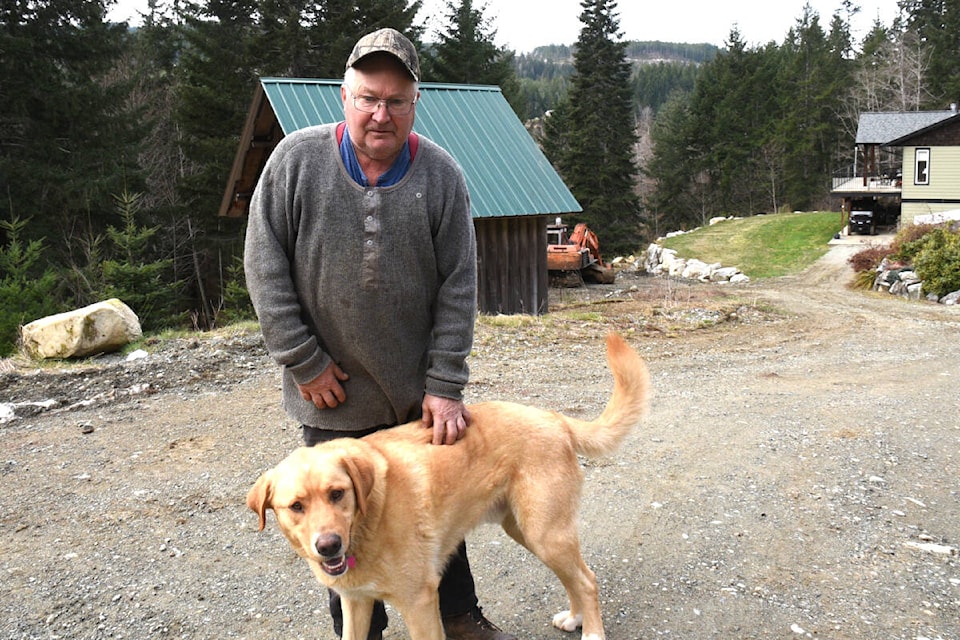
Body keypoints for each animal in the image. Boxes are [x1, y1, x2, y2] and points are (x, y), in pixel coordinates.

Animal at [248, 336, 652, 640]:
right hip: (529, 532)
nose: (328, 545)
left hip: (546, 533)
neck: (368, 521)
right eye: (296, 506)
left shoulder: (420, 603)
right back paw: (575, 617)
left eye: (337, 493)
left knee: (588, 580)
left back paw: (592, 631)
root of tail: (555, 419)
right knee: (575, 576)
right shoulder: (356, 603)